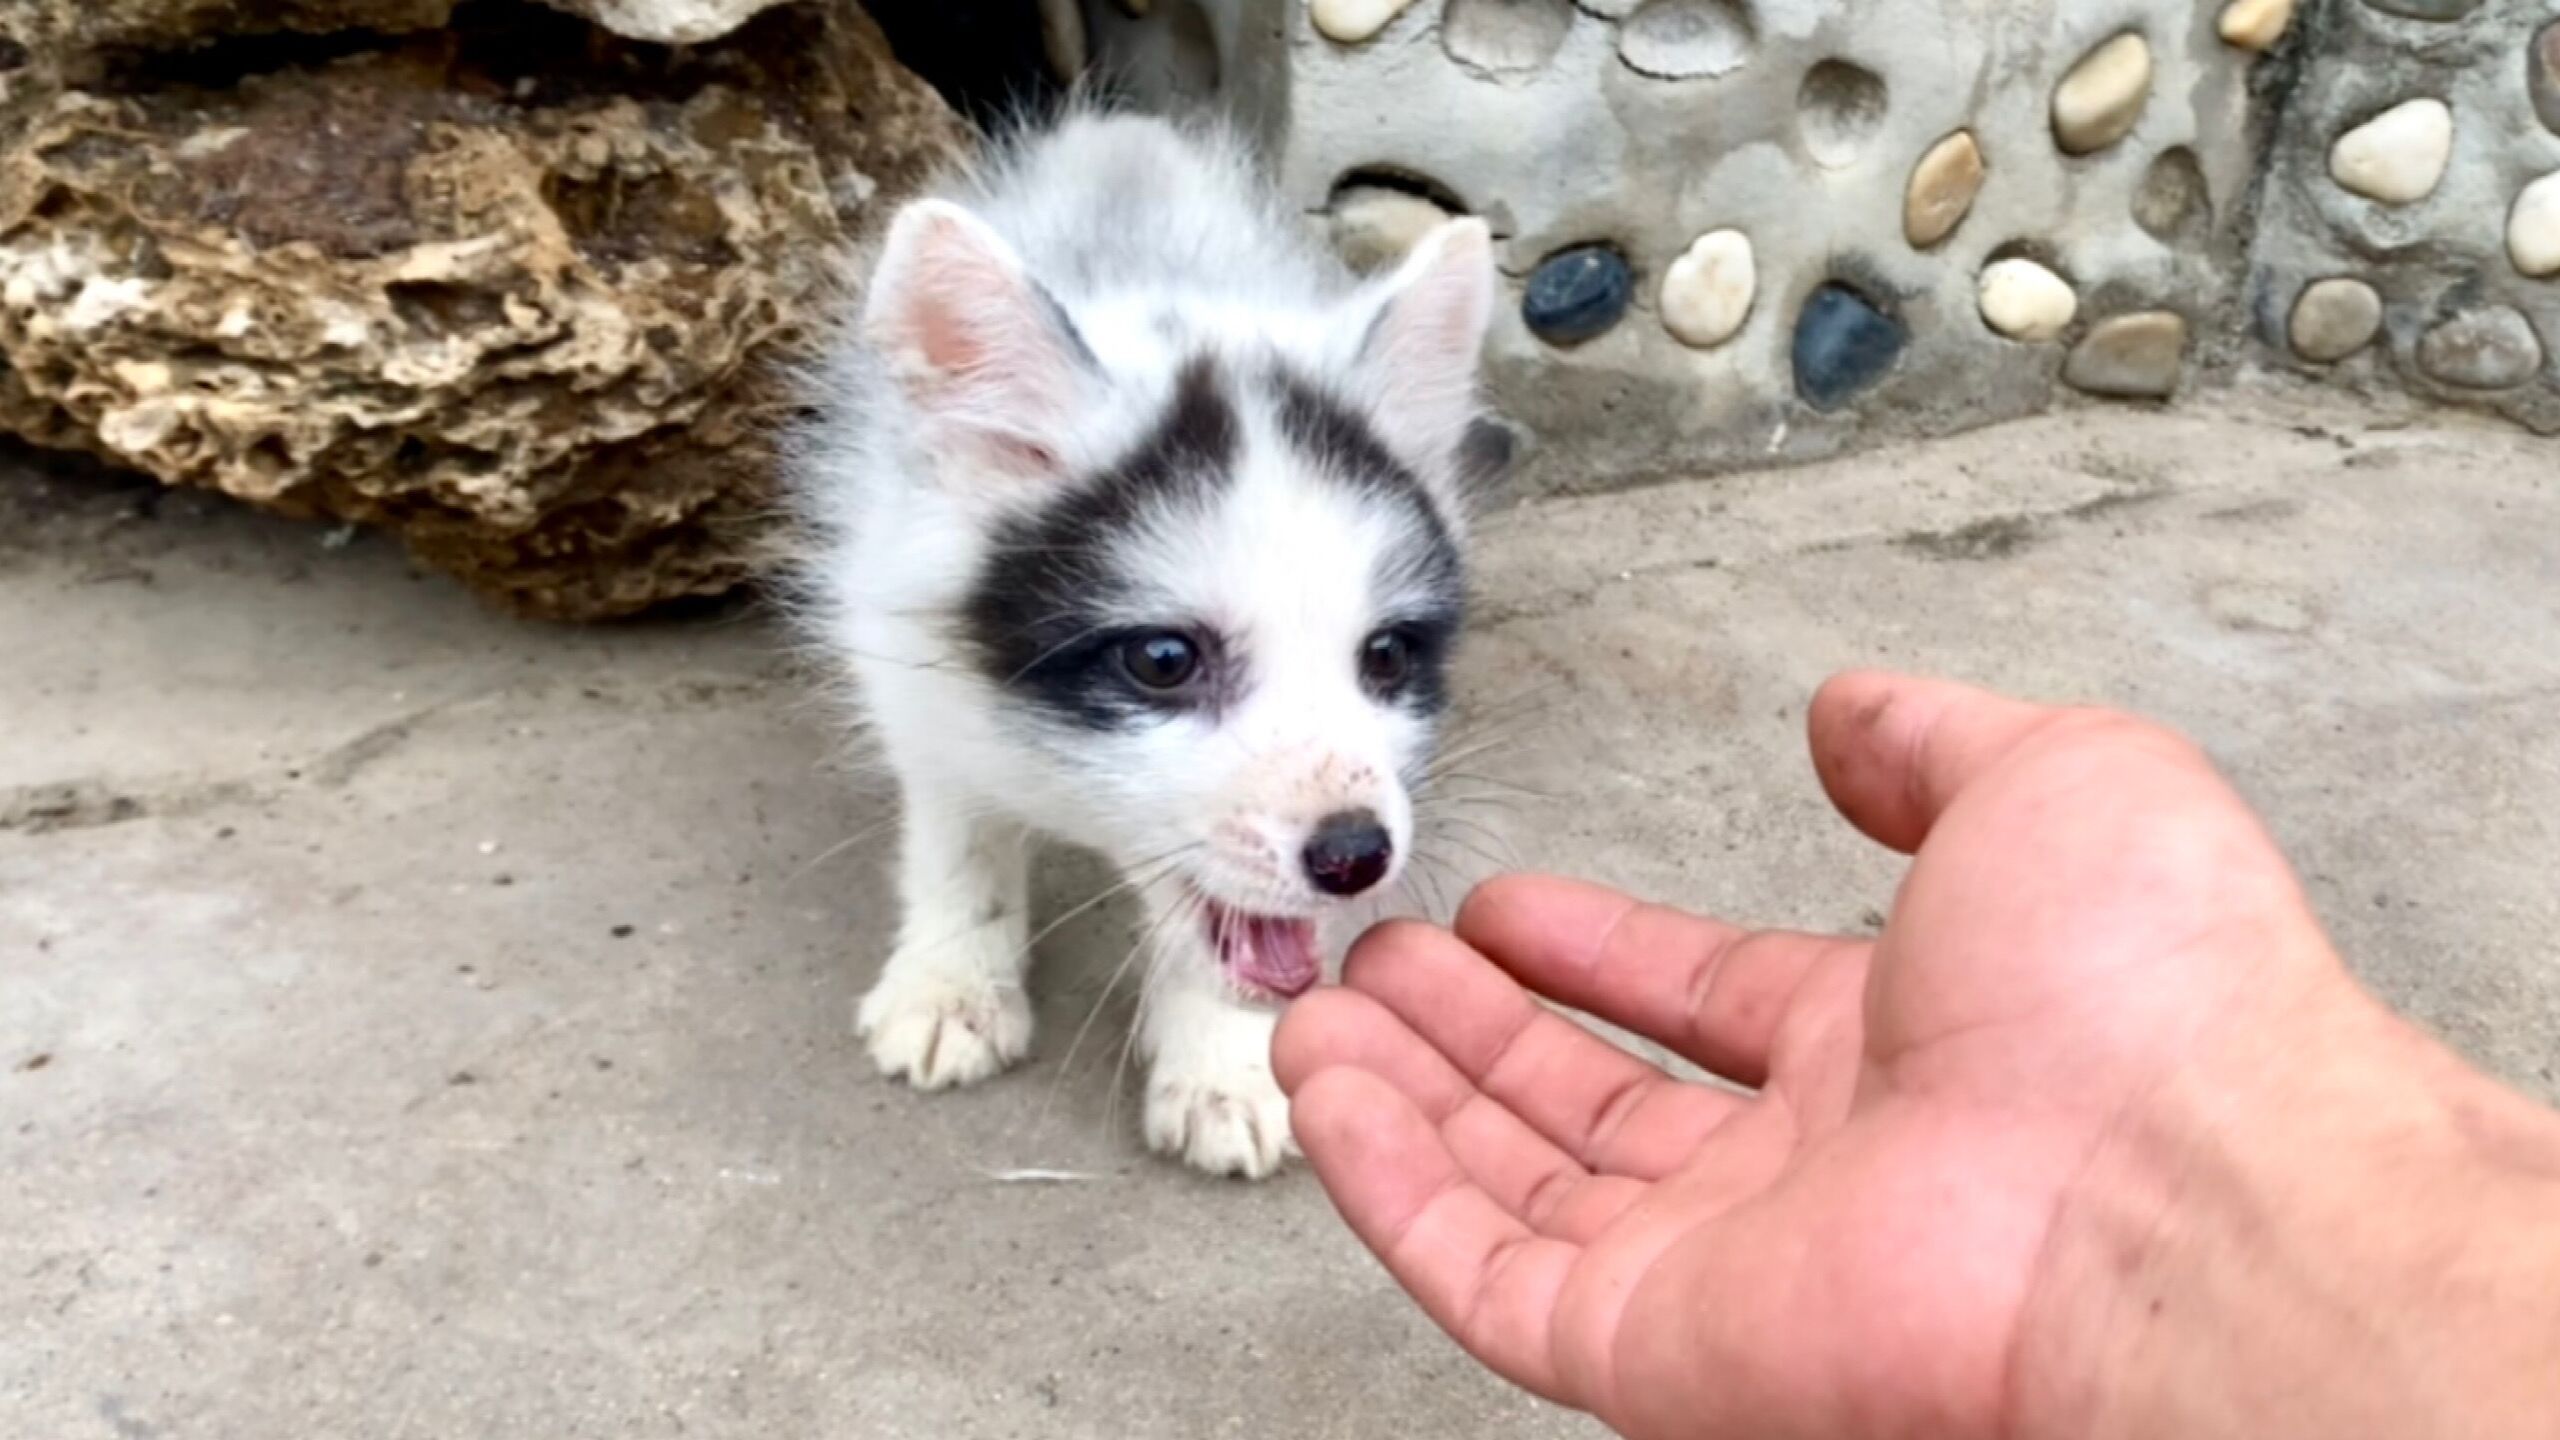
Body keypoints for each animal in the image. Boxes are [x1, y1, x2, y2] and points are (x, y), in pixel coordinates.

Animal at [793, 109, 1495, 1168]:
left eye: (1386, 656)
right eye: (1164, 662)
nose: (1354, 857)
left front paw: (1229, 1058)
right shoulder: (910, 667)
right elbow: (960, 835)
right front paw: (952, 981)